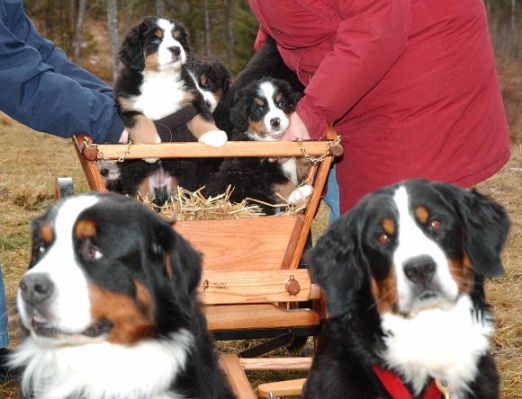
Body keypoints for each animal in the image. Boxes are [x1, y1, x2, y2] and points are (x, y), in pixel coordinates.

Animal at [112, 16, 226, 206]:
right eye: (155, 39)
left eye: (178, 38)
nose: (176, 49)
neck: (160, 78)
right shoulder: (127, 106)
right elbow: (141, 121)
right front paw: (150, 148)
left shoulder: (192, 99)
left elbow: (202, 116)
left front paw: (214, 135)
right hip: (137, 181)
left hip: (182, 179)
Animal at [203, 78, 310, 216]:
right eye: (259, 108)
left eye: (281, 103)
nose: (275, 121)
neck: (271, 140)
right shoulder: (259, 170)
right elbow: (282, 182)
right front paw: (298, 193)